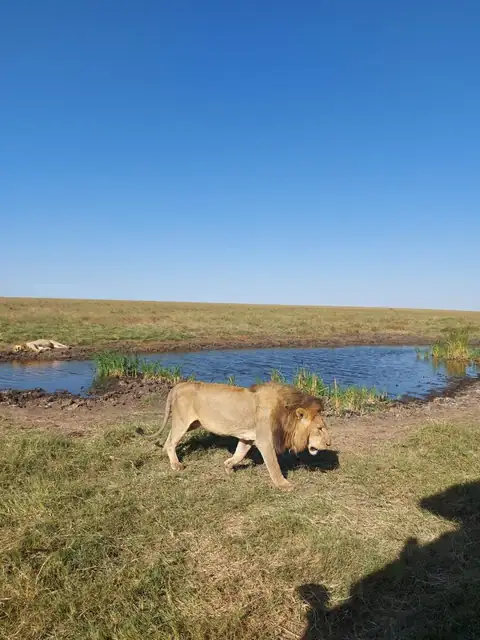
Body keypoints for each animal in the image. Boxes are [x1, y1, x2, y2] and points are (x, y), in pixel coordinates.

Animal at [146, 380, 331, 490]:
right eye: (320, 428)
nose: (329, 443)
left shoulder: (247, 438)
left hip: (192, 423)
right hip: (183, 422)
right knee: (172, 441)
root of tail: (179, 384)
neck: (285, 416)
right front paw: (284, 484)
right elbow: (274, 466)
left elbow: (239, 454)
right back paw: (176, 465)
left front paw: (228, 467)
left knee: (169, 438)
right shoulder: (265, 441)